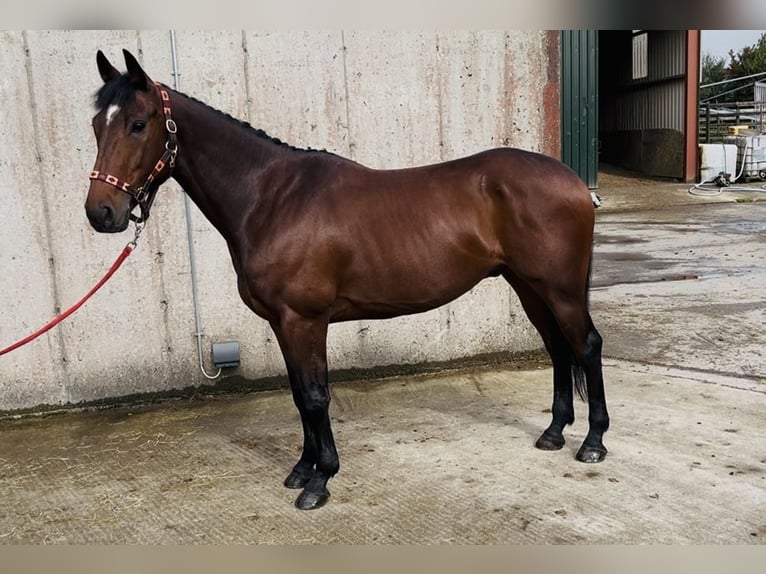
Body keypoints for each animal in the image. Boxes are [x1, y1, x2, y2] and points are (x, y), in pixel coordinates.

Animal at [85, 49, 609, 510]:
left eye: (138, 123)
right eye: (95, 125)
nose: (101, 213)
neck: (271, 198)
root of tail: (573, 181)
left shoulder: (304, 319)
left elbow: (316, 396)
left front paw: (320, 481)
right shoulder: (283, 323)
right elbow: (300, 395)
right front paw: (302, 469)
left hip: (559, 289)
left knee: (585, 346)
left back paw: (593, 442)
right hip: (528, 287)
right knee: (558, 349)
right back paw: (553, 433)